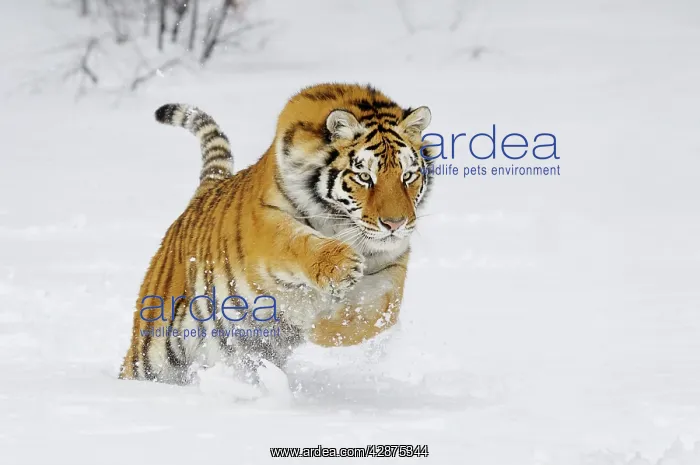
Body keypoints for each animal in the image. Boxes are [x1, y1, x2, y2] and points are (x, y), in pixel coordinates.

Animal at [119, 83, 434, 385]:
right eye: (364, 177)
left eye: (407, 176)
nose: (395, 224)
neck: (346, 227)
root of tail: (205, 191)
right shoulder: (267, 220)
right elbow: (296, 241)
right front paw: (338, 270)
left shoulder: (389, 267)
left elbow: (379, 314)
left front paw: (321, 326)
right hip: (155, 351)